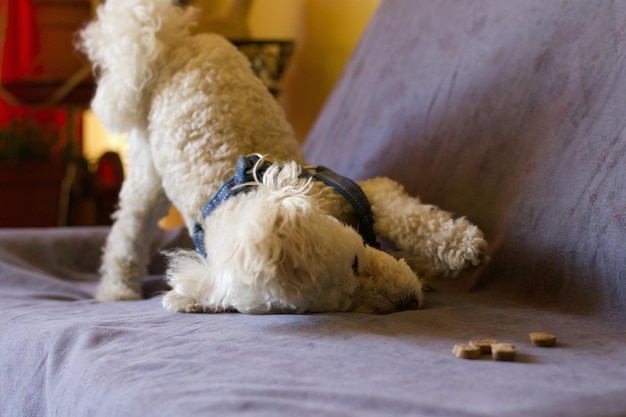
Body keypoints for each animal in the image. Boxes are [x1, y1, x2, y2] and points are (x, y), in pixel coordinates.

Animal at [79, 0, 488, 312]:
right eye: (339, 304)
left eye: (356, 261)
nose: (407, 303)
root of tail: (168, 44)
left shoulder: (358, 190)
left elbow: (412, 218)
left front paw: (462, 246)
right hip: (147, 166)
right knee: (127, 234)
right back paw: (117, 290)